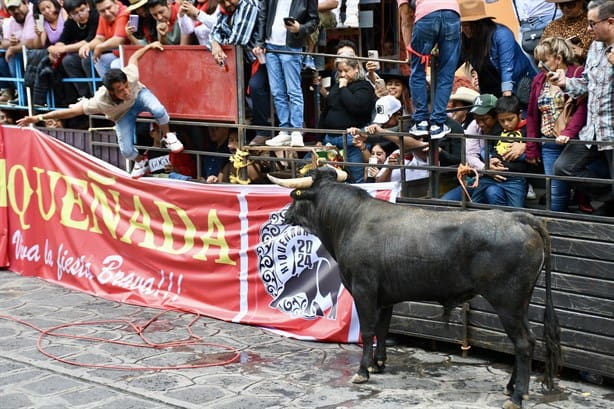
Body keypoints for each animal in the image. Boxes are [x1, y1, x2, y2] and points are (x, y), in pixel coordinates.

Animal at [272, 167, 564, 408]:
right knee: (526, 340)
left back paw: (517, 396)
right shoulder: (385, 296)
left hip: (507, 302)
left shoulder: (364, 290)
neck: (350, 220)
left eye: (296, 196)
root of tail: (520, 218)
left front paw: (362, 371)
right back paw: (511, 387)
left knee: (523, 343)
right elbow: (382, 328)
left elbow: (368, 330)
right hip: (521, 302)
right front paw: (378, 363)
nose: (284, 215)